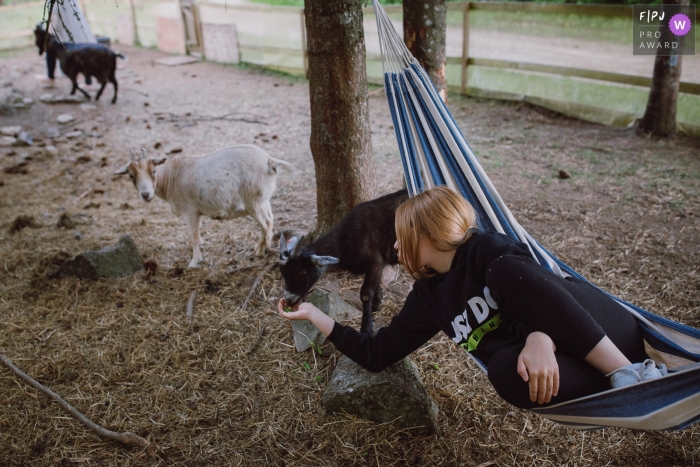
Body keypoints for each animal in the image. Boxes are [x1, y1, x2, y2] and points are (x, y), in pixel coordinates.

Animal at [114, 144, 292, 268]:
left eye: (153, 171)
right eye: (131, 175)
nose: (146, 194)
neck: (171, 178)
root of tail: (270, 160)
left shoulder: (189, 211)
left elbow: (192, 235)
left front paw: (194, 262)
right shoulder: (196, 211)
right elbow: (197, 232)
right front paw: (201, 243)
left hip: (253, 201)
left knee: (266, 222)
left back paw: (262, 251)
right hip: (263, 199)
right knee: (270, 218)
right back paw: (260, 247)